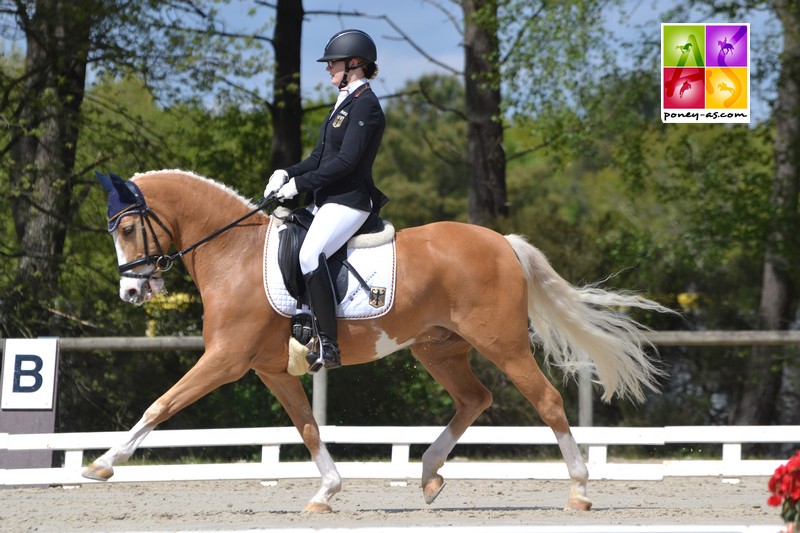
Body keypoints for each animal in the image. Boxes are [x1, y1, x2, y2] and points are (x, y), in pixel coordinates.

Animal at [84, 169, 672, 512]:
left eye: (128, 229)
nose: (132, 291)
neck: (234, 254)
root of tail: (503, 242)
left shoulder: (225, 360)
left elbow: (160, 406)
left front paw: (102, 465)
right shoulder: (272, 370)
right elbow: (308, 427)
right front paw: (326, 493)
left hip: (502, 344)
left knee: (546, 401)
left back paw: (579, 490)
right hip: (438, 348)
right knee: (474, 399)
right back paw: (430, 475)